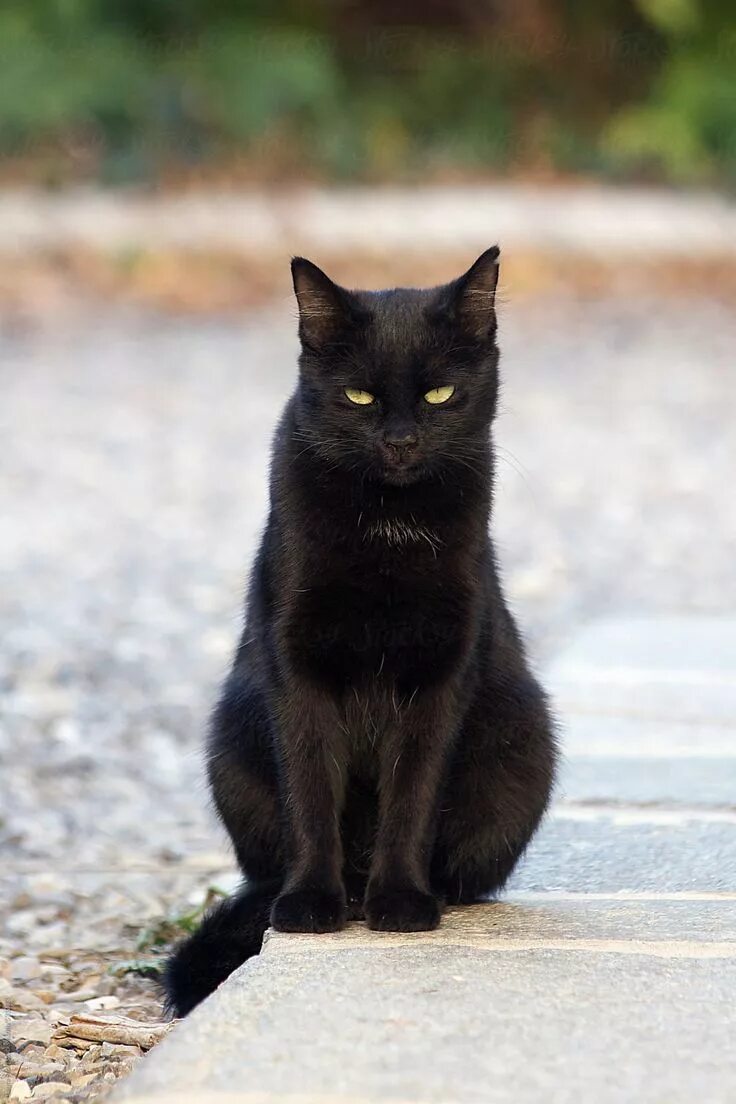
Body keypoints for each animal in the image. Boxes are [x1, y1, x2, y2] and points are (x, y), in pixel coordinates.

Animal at [165, 252, 558, 1015]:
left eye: (439, 394)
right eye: (358, 397)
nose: (400, 441)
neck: (388, 523)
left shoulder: (442, 671)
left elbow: (413, 794)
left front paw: (401, 901)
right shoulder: (295, 666)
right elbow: (312, 787)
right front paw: (312, 903)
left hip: (523, 746)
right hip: (231, 741)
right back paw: (326, 892)